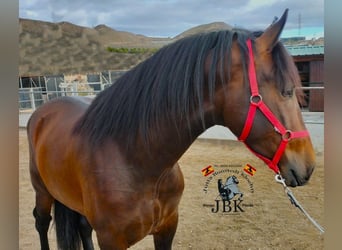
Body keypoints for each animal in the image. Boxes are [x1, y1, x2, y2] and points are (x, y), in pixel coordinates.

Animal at [27, 8, 316, 249]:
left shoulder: (167, 228)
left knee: (82, 227)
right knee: (41, 222)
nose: (309, 166)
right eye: (287, 90)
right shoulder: (111, 239)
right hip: (42, 192)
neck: (134, 159)